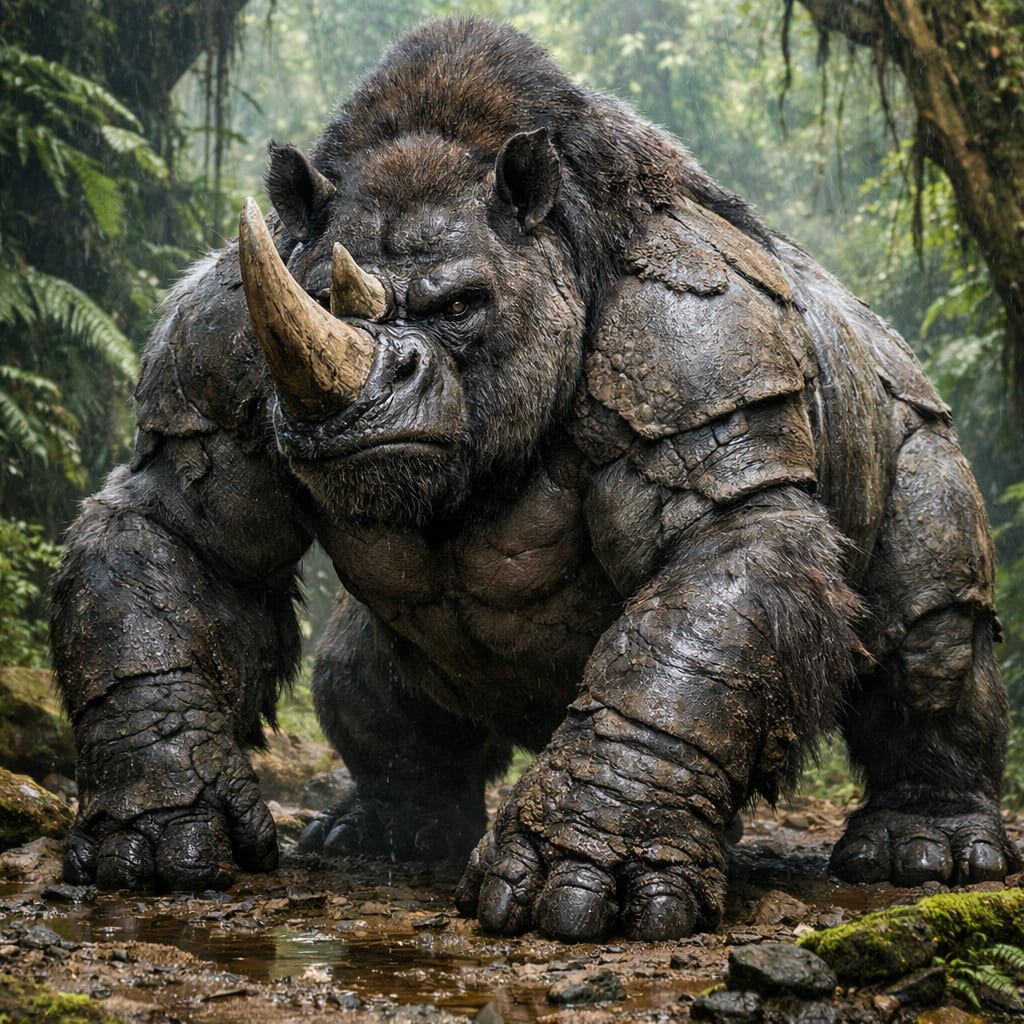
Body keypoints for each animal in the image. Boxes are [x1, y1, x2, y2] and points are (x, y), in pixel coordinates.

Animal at [51, 17, 1014, 941]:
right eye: (315, 301)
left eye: (460, 307)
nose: (361, 405)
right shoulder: (215, 351)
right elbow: (177, 540)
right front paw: (161, 837)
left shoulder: (689, 349)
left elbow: (708, 583)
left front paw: (580, 887)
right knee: (353, 668)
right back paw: (381, 836)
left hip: (910, 411)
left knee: (927, 623)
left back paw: (926, 857)